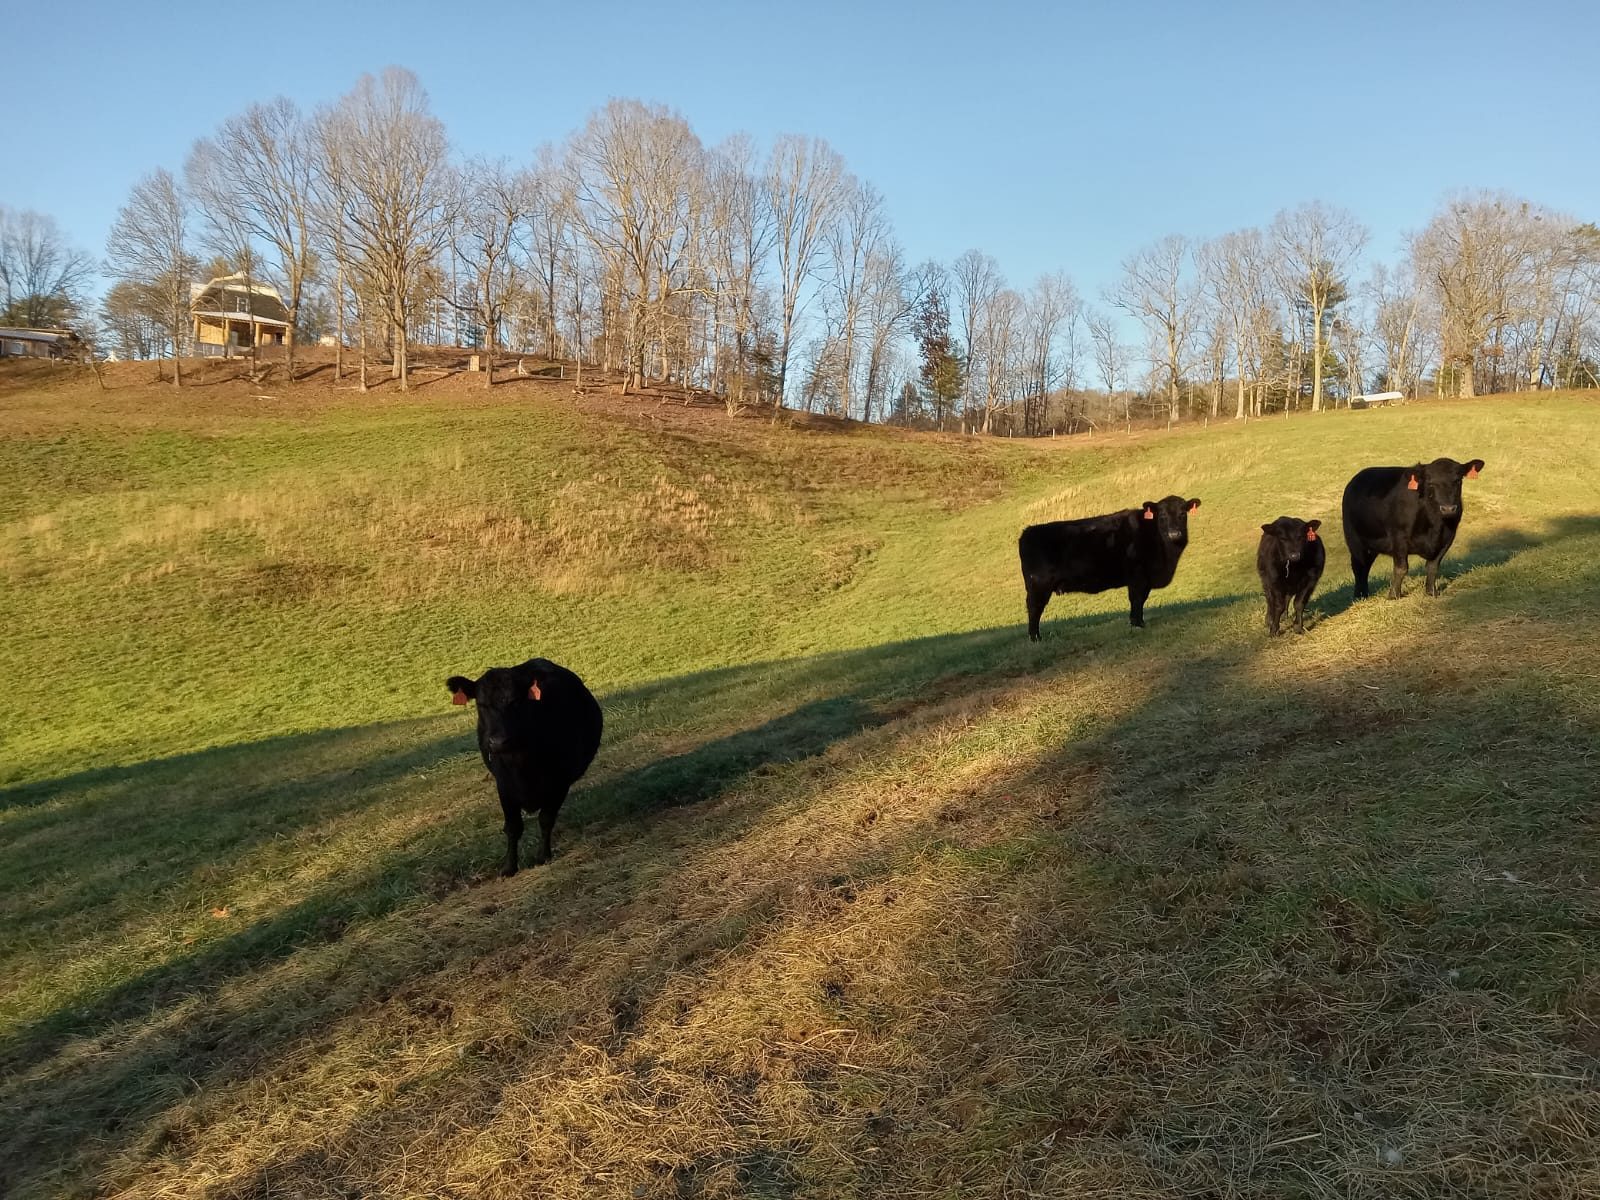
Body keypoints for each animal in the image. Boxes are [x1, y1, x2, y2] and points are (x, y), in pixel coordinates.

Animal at [445, 657, 603, 876]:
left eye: (516, 702)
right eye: (481, 704)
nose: (498, 742)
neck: (521, 763)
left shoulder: (559, 782)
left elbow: (546, 819)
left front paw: (543, 855)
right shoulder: (504, 785)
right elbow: (513, 827)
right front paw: (509, 866)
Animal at [1018, 495, 1202, 640]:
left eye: (1182, 514)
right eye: (1162, 515)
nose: (1175, 534)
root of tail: (1028, 531)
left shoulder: (1146, 579)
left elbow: (1142, 599)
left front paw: (1139, 622)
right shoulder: (1137, 575)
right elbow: (1136, 599)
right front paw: (1137, 624)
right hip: (1039, 585)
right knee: (1034, 609)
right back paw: (1035, 638)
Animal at [1341, 457, 1485, 599]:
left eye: (1458, 480)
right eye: (1430, 483)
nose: (1448, 508)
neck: (1435, 524)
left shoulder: (1448, 537)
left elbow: (1433, 566)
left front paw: (1431, 592)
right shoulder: (1399, 537)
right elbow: (1401, 568)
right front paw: (1394, 595)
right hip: (1354, 540)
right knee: (1359, 567)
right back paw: (1360, 595)